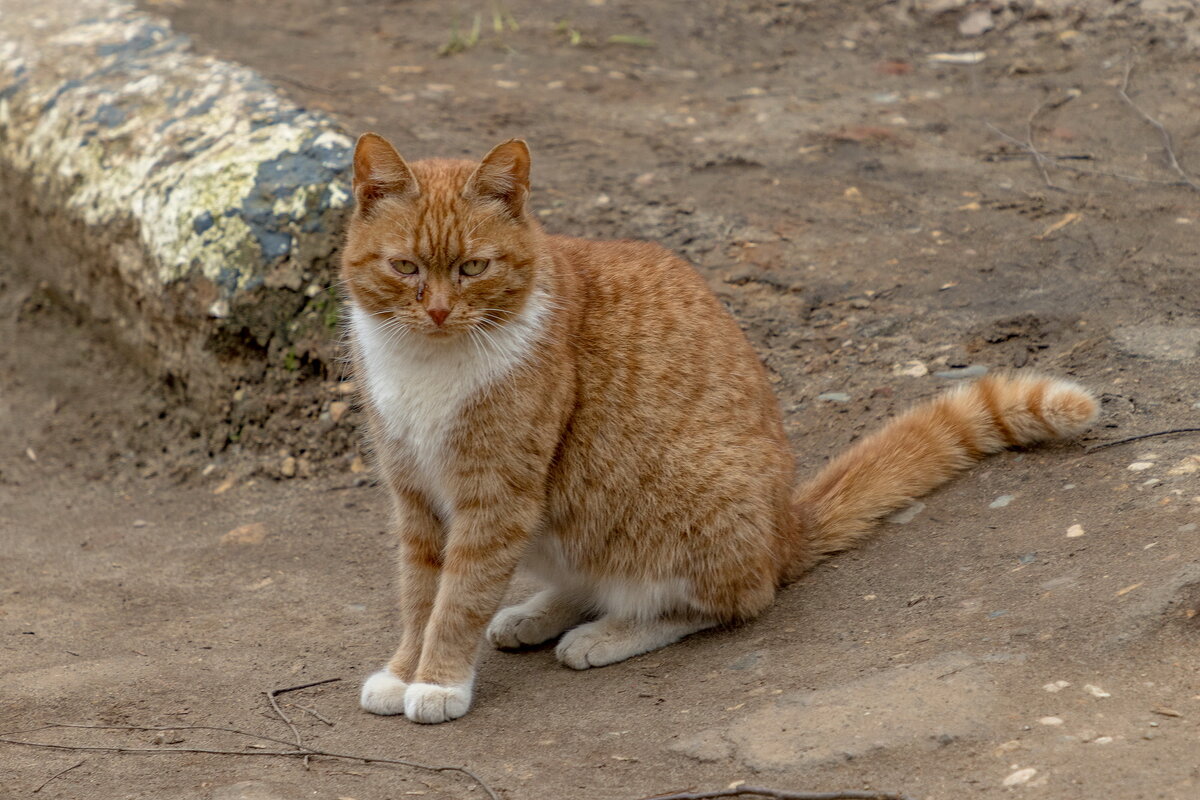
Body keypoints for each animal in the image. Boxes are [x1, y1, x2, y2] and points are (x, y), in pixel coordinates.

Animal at [338, 136, 1099, 724]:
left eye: (474, 267)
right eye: (405, 267)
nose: (438, 311)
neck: (429, 364)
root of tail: (787, 526)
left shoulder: (495, 499)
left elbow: (458, 599)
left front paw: (438, 682)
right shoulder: (417, 497)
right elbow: (421, 596)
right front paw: (404, 671)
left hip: (684, 499)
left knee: (723, 601)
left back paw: (606, 634)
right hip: (567, 526)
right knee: (587, 578)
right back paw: (536, 614)